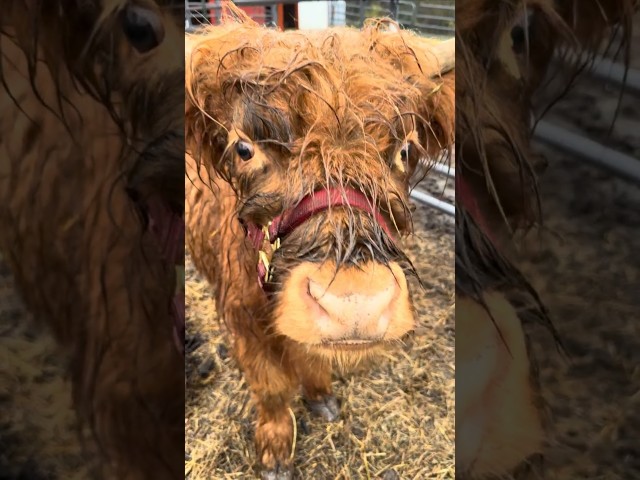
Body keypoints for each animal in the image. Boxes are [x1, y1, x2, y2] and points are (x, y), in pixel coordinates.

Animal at [184, 12, 456, 480]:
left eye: (405, 148)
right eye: (244, 147)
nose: (355, 305)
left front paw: (320, 396)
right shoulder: (242, 320)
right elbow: (271, 386)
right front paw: (276, 448)